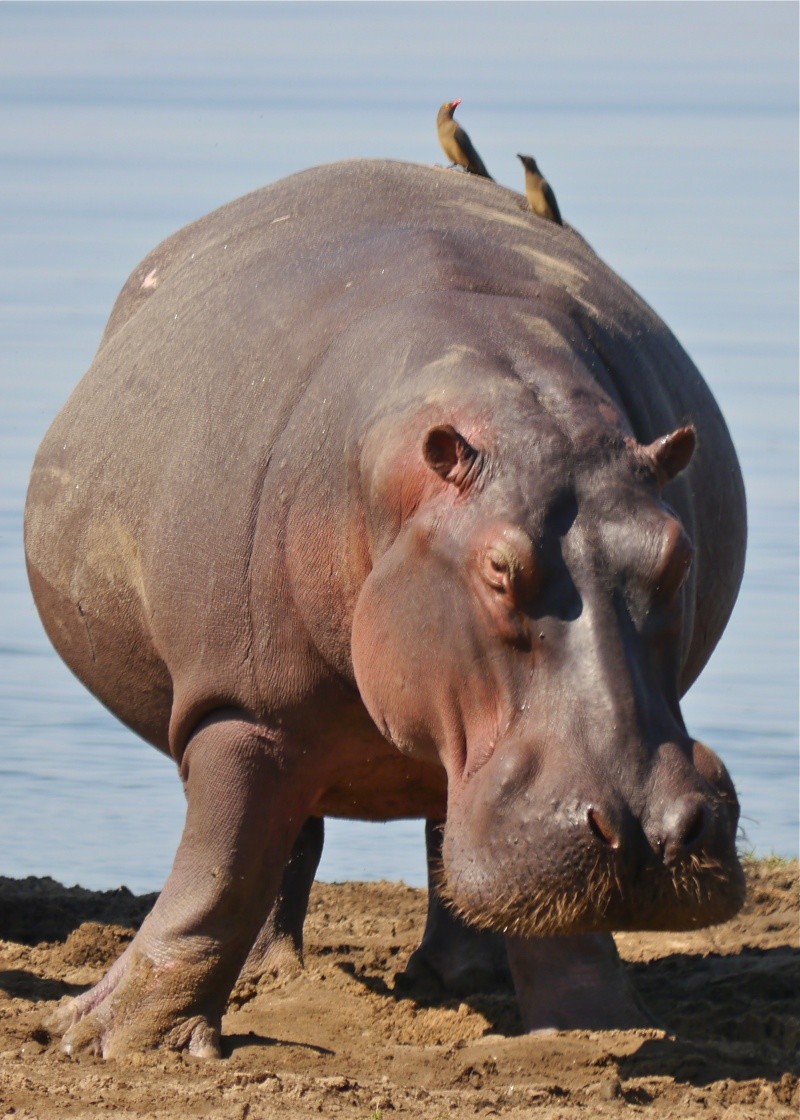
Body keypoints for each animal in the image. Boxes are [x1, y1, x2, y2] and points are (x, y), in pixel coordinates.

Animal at [26, 160, 748, 1057]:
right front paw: (100, 1038)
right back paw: (275, 977)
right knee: (290, 841)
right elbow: (220, 872)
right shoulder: (242, 708)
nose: (650, 832)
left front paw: (595, 1033)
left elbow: (561, 919)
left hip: (458, 753)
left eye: (675, 552)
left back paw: (461, 977)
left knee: (448, 834)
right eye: (499, 567)